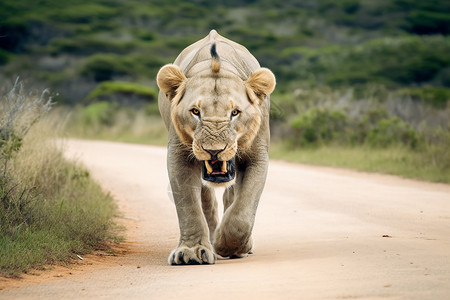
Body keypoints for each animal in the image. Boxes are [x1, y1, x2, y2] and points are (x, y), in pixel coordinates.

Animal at [156, 29, 276, 264]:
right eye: (195, 111)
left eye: (235, 112)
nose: (214, 150)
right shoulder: (179, 155)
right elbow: (188, 207)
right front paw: (192, 251)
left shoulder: (257, 156)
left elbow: (242, 213)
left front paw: (229, 246)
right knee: (207, 203)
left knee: (232, 197)